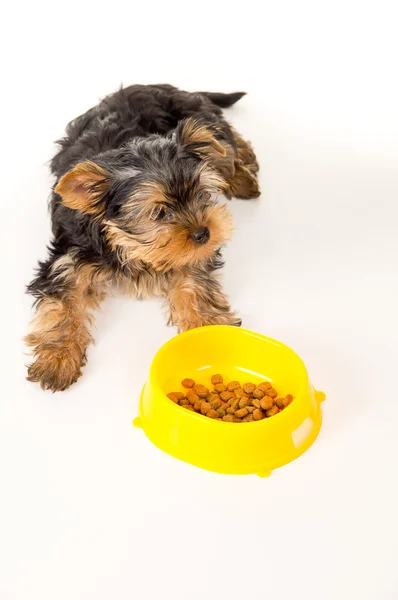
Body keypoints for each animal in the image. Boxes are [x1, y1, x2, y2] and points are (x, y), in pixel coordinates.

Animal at [25, 85, 262, 394]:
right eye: (159, 213)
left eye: (201, 195)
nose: (204, 233)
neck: (128, 246)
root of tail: (162, 86)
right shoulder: (67, 260)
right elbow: (61, 305)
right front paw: (57, 357)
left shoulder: (189, 256)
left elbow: (195, 286)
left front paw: (209, 330)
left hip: (201, 117)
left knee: (226, 140)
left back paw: (243, 174)